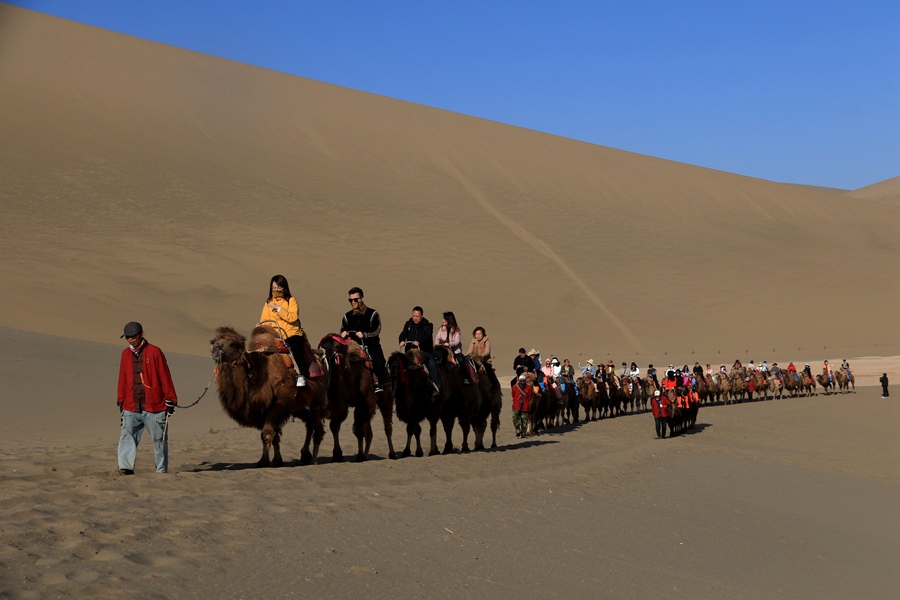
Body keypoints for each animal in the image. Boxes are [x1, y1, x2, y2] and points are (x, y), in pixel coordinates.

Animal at [210, 326, 326, 466]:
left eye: (233, 344)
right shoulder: (263, 410)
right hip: (297, 406)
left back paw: (313, 460)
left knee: (316, 427)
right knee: (309, 422)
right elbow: (274, 435)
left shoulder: (279, 404)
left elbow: (267, 433)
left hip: (317, 400)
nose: (215, 349)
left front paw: (263, 461)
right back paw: (305, 455)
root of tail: (319, 362)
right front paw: (277, 461)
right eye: (213, 342)